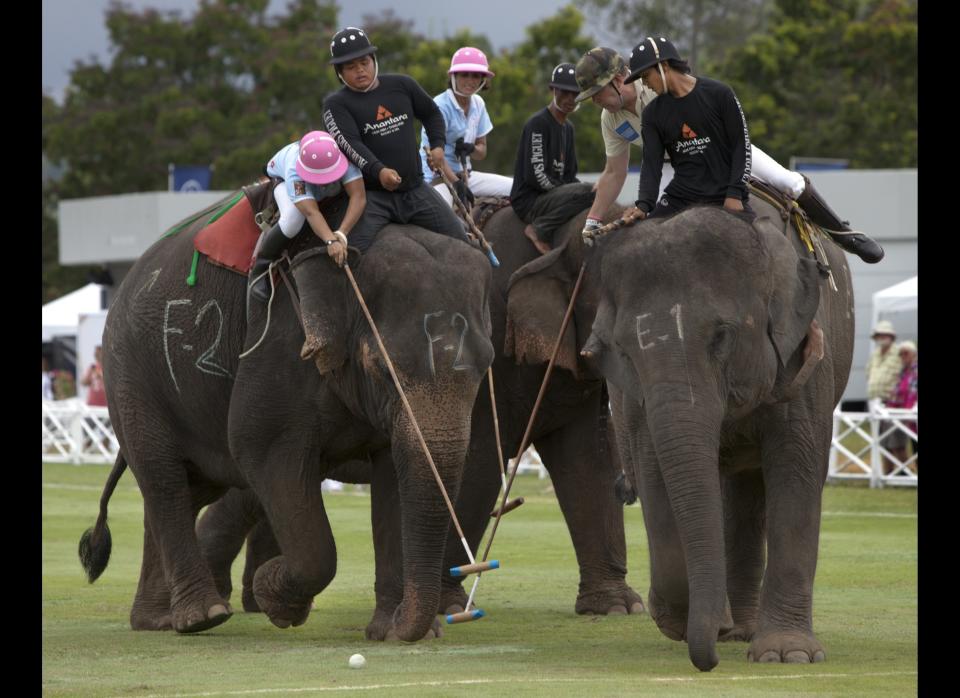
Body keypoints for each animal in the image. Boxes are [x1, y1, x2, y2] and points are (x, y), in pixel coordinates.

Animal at [78, 186, 492, 640]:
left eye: (487, 365)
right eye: (383, 369)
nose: (412, 624)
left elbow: (393, 477)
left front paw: (389, 631)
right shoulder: (277, 344)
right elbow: (262, 451)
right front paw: (277, 602)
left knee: (187, 490)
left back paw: (157, 620)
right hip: (132, 377)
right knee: (164, 481)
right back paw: (204, 615)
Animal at [576, 198, 856, 668]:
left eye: (722, 336)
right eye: (624, 351)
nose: (706, 660)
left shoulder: (803, 356)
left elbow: (797, 468)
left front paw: (787, 655)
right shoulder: (637, 401)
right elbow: (656, 476)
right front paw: (685, 620)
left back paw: (743, 632)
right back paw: (734, 628)